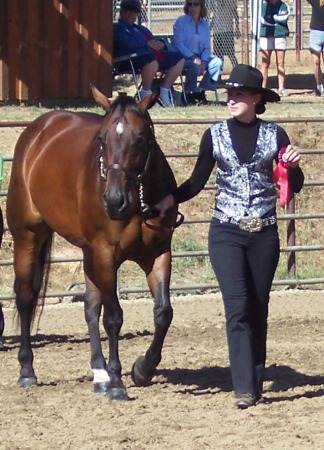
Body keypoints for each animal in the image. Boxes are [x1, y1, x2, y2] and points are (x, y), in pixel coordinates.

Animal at [6, 89, 182, 400]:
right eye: (102, 137)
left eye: (140, 137)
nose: (113, 201)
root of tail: (39, 130)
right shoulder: (105, 254)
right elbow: (113, 317)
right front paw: (117, 384)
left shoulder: (158, 253)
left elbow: (163, 312)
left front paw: (143, 368)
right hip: (28, 236)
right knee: (26, 297)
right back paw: (27, 371)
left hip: (87, 253)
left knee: (90, 306)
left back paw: (99, 374)